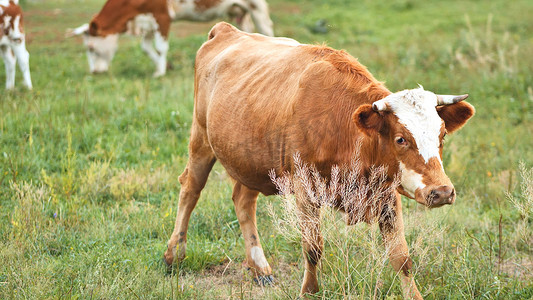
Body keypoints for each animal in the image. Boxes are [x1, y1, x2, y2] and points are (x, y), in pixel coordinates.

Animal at [66, 0, 272, 77]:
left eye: (91, 48)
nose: (94, 72)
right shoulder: (148, 21)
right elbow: (146, 48)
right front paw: (162, 67)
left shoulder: (162, 16)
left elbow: (161, 47)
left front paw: (161, 72)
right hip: (239, 11)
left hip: (256, 5)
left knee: (266, 27)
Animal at [164, 21, 476, 298]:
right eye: (400, 139)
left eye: (442, 135)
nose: (442, 192)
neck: (344, 128)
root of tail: (226, 30)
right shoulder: (305, 191)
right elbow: (313, 248)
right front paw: (309, 292)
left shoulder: (387, 194)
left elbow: (401, 257)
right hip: (201, 140)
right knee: (190, 189)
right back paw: (173, 254)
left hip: (249, 159)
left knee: (243, 201)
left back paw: (260, 268)